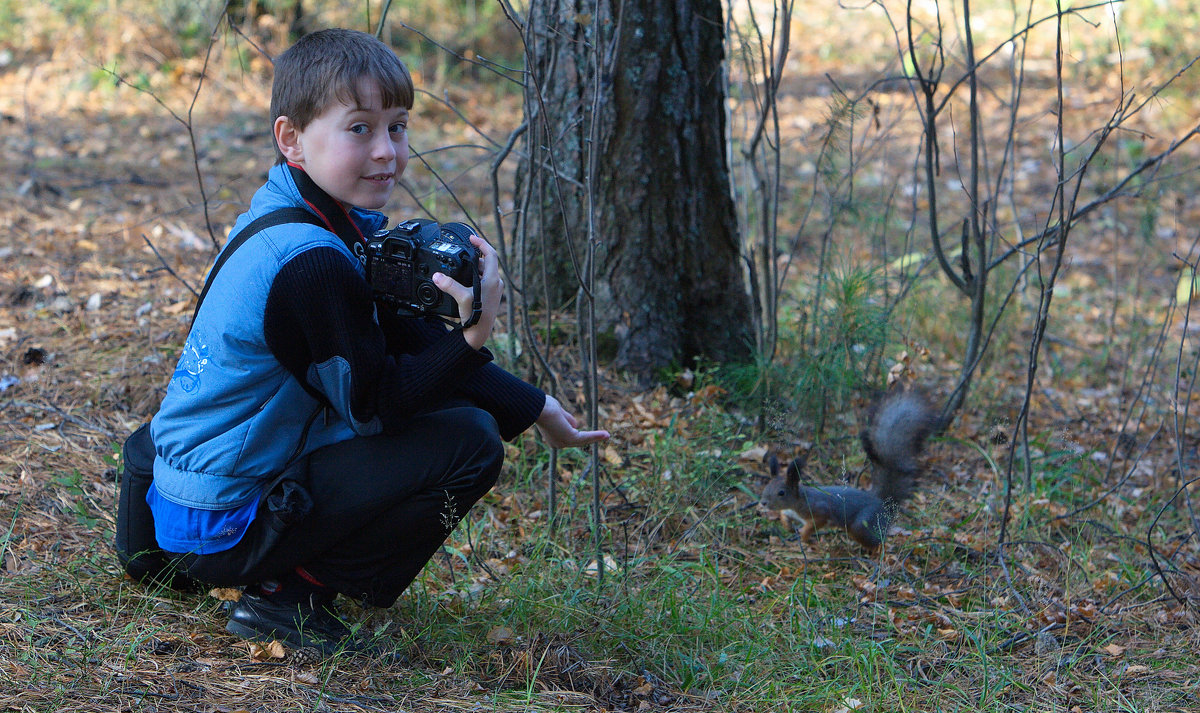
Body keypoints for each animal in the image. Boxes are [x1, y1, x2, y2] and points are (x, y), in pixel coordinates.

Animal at [758, 388, 936, 549]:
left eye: (781, 493)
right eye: (766, 486)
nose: (763, 503)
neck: (798, 501)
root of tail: (884, 505)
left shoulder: (820, 510)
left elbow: (813, 525)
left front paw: (804, 536)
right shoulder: (789, 511)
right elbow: (784, 515)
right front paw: (787, 525)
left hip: (861, 525)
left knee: (878, 542)